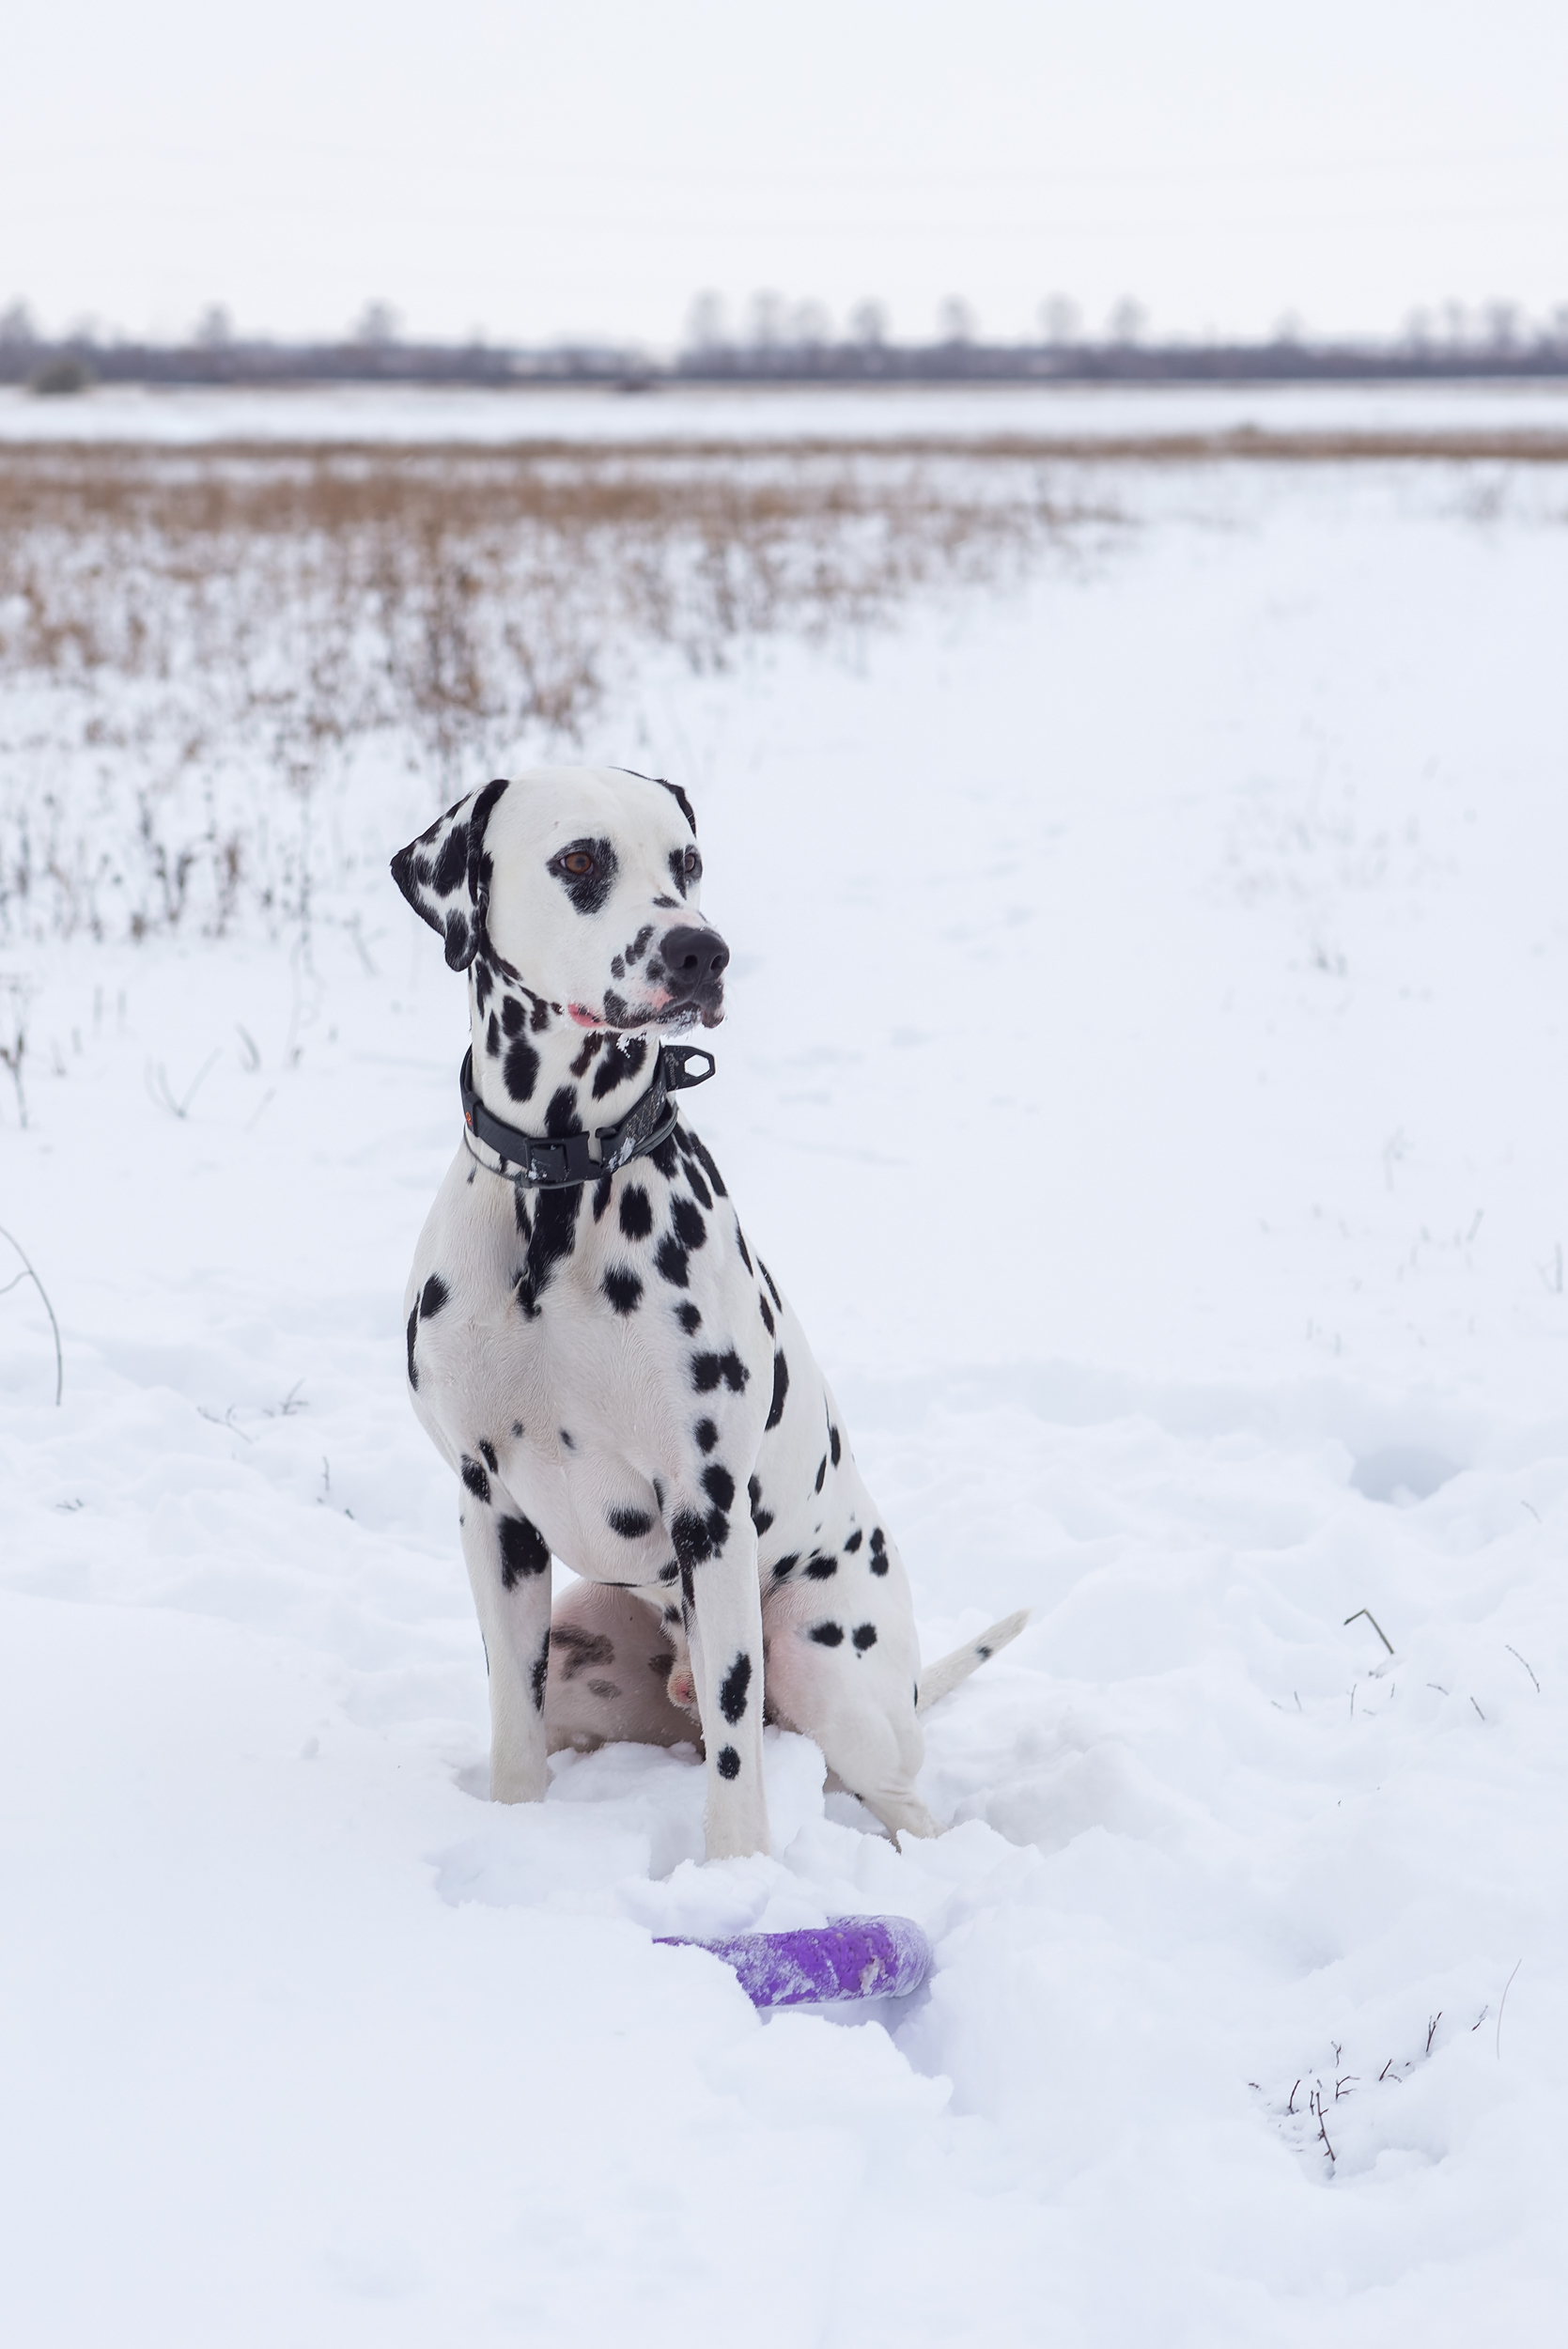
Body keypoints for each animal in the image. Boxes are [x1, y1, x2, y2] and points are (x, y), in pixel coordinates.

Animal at [398, 761, 1023, 1860]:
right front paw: (514, 1832)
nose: (701, 949)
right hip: (583, 1637)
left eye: (687, 862)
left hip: (821, 1656)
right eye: (579, 860)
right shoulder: (492, 1512)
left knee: (893, 1794)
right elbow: (512, 1725)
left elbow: (736, 1753)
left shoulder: (708, 1513)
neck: (558, 1195)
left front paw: (735, 1876)